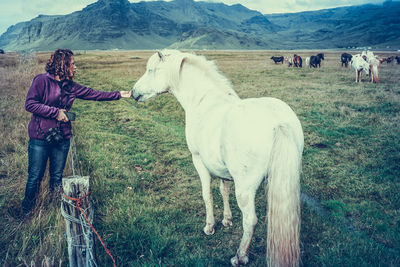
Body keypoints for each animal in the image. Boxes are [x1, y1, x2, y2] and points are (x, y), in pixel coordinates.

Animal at [131, 50, 304, 267]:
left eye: (151, 70)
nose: (133, 92)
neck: (204, 101)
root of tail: (278, 123)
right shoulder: (223, 170)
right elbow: (223, 191)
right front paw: (227, 220)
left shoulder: (199, 161)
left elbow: (207, 194)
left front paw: (210, 226)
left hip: (245, 189)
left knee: (251, 221)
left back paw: (240, 257)